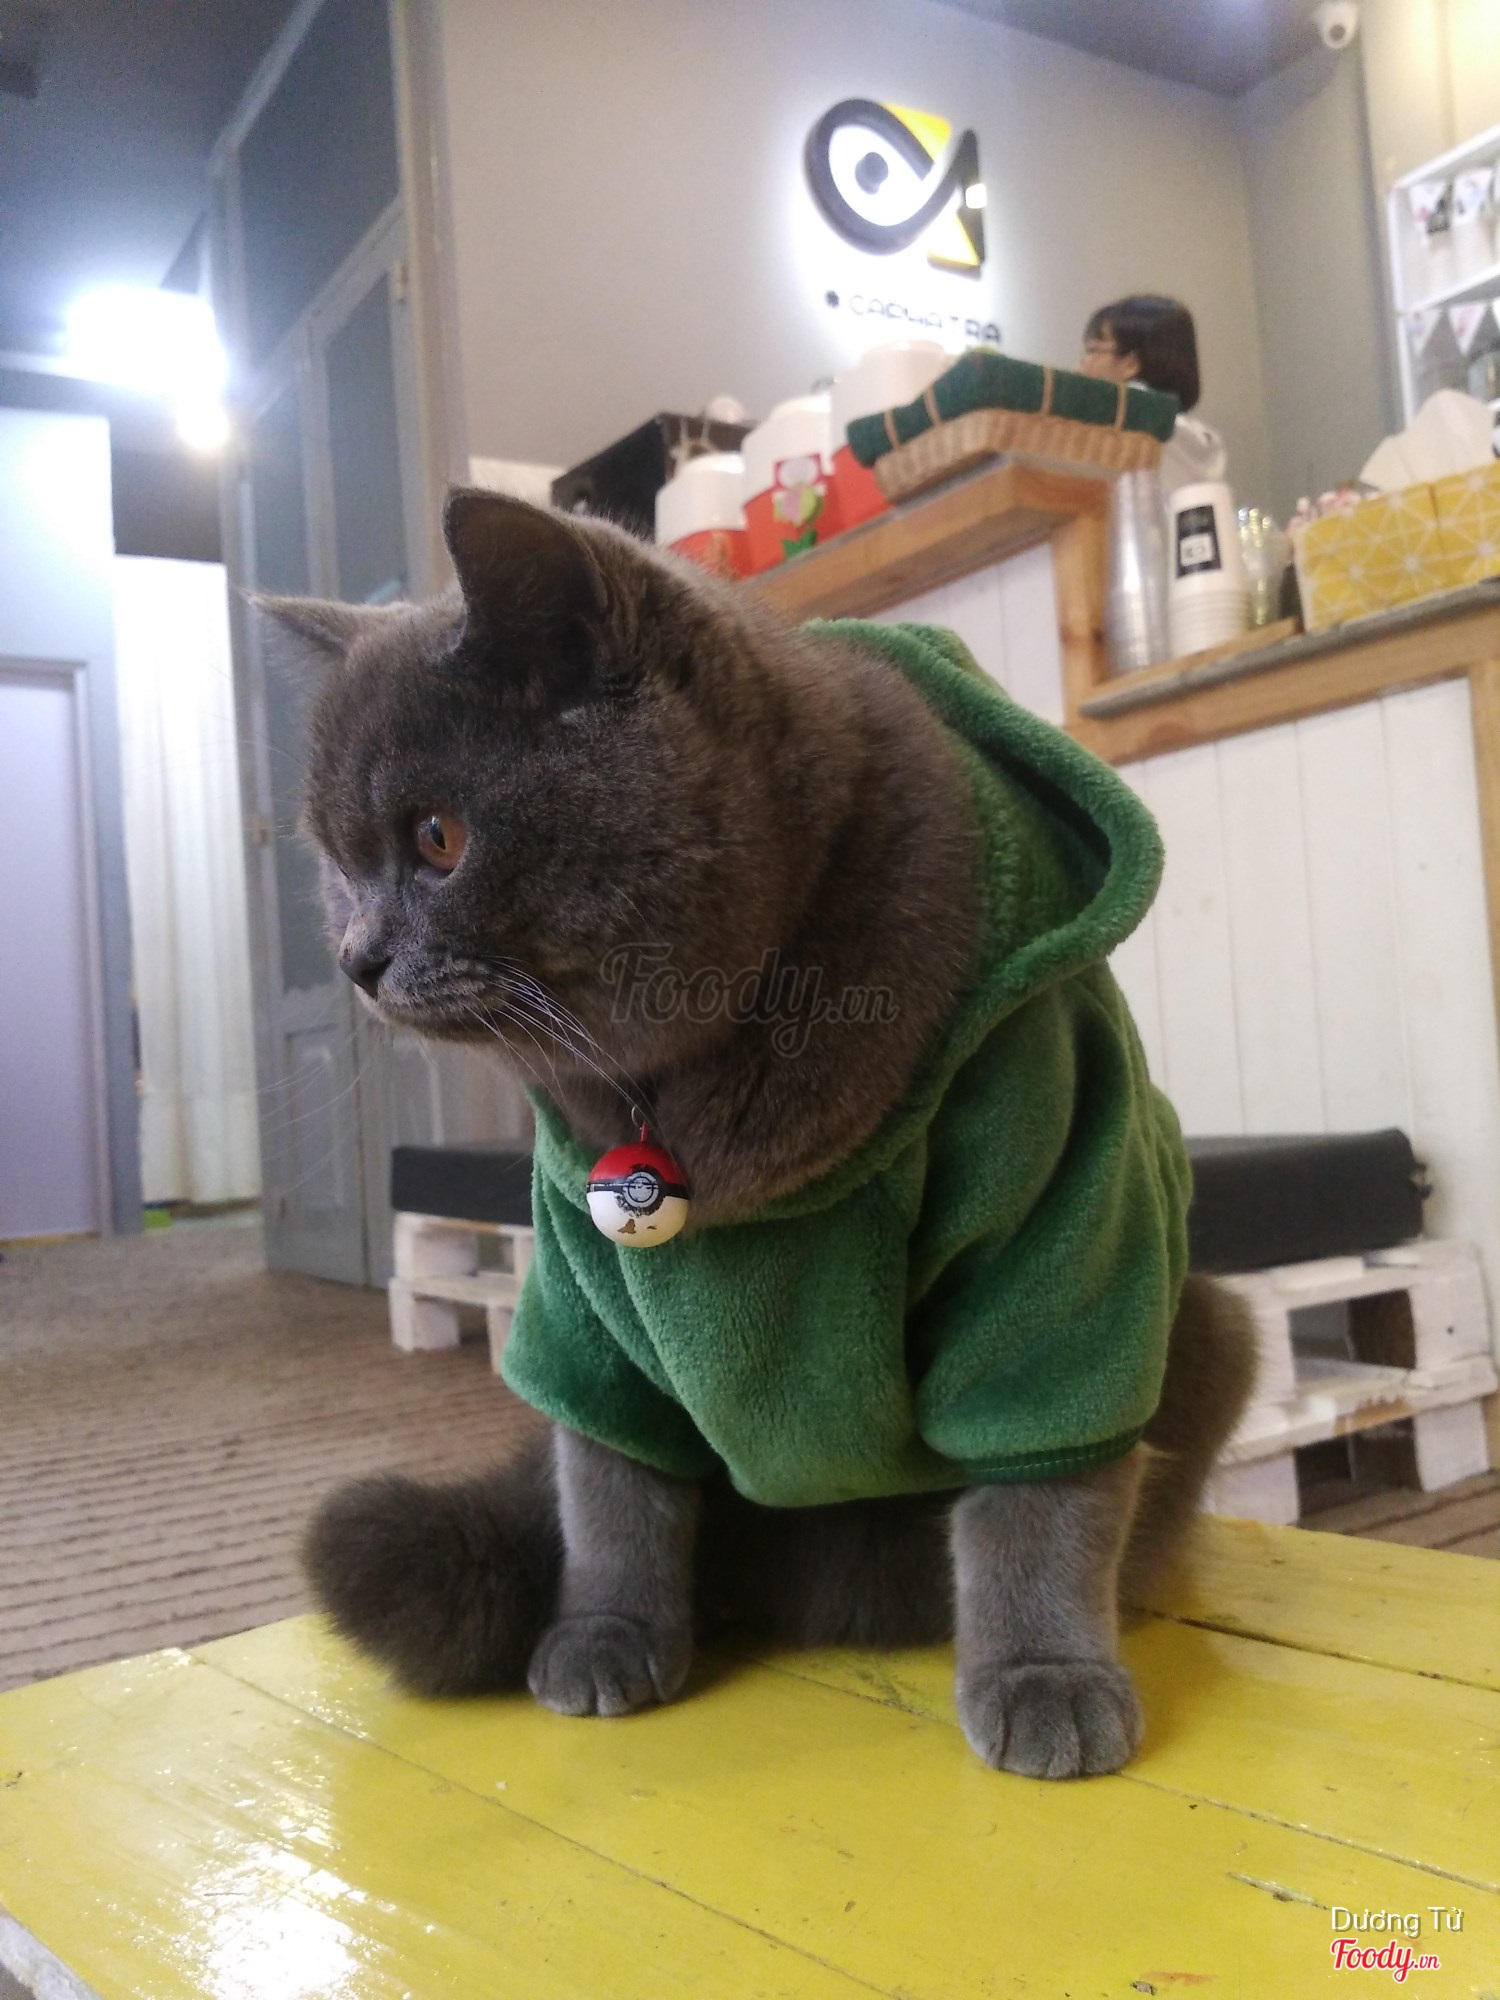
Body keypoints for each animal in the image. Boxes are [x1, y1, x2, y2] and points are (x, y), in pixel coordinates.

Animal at [259, 490, 1255, 1780]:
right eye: (336, 865)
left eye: (437, 837)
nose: (355, 955)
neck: (681, 1092)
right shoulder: (581, 1294)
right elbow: (607, 1478)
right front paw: (605, 1632)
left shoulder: (1061, 1220)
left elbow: (1044, 1481)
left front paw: (1046, 1675)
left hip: (1212, 1318)